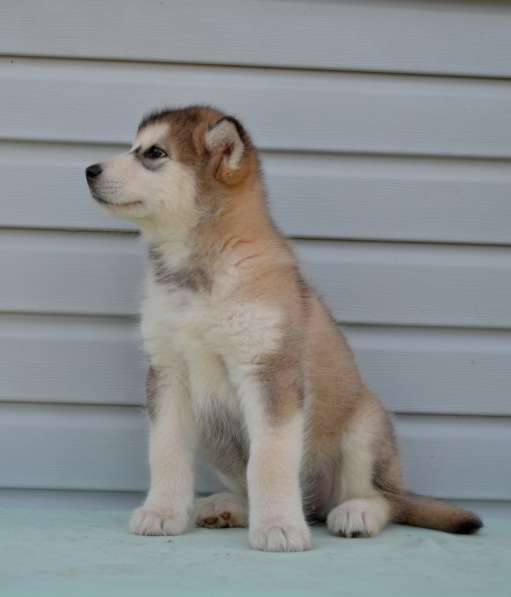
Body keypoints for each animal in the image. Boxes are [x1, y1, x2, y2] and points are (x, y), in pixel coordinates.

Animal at [85, 103, 484, 548]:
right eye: (135, 147)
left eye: (154, 153)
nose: (89, 170)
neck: (198, 270)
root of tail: (318, 504)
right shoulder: (168, 372)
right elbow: (166, 450)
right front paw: (161, 512)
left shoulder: (269, 372)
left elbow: (269, 459)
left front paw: (277, 525)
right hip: (214, 432)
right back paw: (230, 506)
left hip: (365, 425)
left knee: (385, 500)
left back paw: (356, 512)